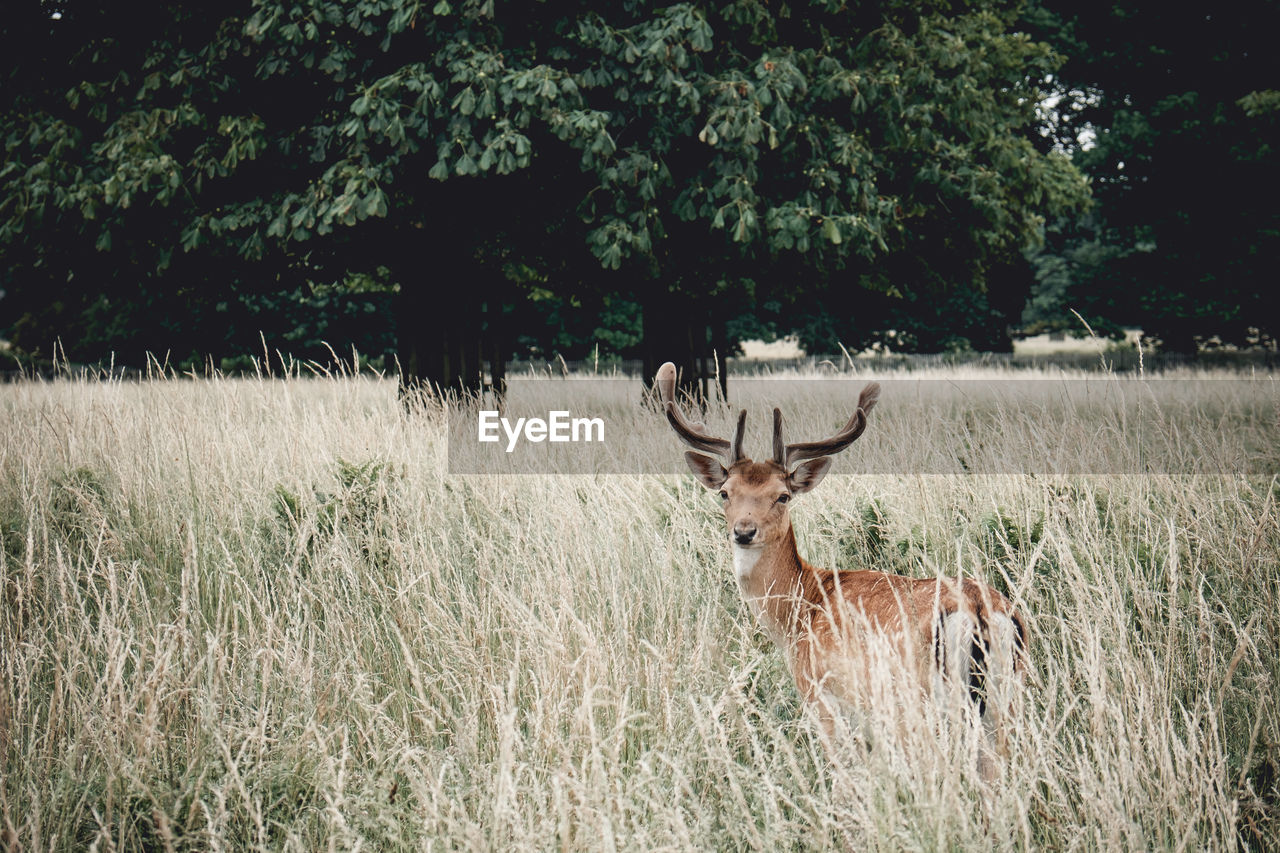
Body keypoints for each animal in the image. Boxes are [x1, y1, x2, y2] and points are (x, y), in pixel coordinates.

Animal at [660, 361, 1029, 773]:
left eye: (783, 496)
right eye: (725, 492)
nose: (744, 531)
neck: (798, 610)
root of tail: (979, 610)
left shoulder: (820, 693)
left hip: (916, 701)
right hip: (1008, 696)